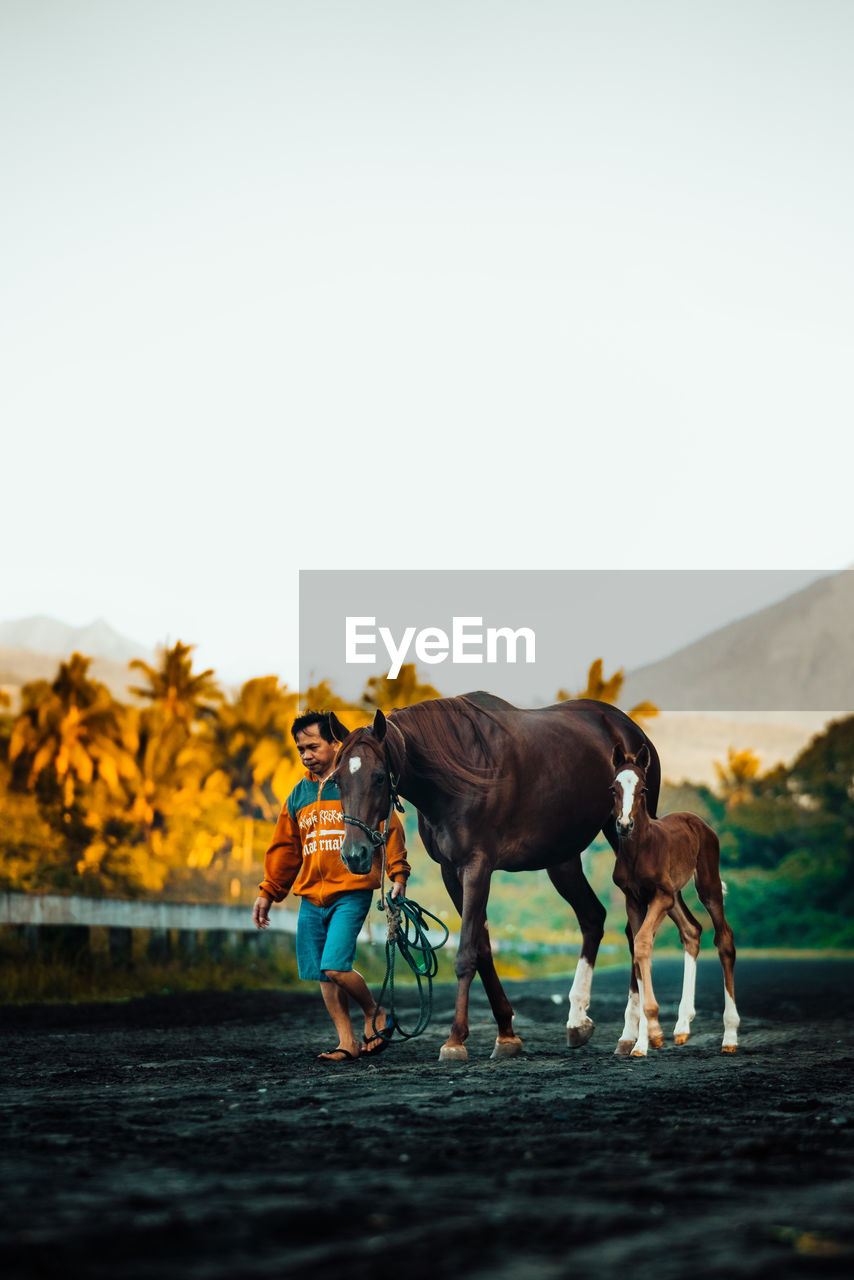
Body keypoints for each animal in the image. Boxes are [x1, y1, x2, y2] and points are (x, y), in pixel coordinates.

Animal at [327, 696, 660, 1064]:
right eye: (337, 780)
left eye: (378, 778)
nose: (354, 854)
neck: (453, 776)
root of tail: (627, 728)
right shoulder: (451, 872)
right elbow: (483, 948)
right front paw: (506, 1034)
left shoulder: (477, 867)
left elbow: (465, 953)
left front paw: (455, 1040)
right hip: (562, 860)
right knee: (592, 918)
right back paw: (577, 1022)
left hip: (623, 836)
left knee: (633, 928)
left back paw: (629, 1034)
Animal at [612, 742, 737, 1059]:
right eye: (612, 789)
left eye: (643, 789)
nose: (624, 824)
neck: (638, 851)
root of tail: (697, 821)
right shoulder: (634, 899)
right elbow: (637, 947)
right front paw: (643, 1042)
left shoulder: (661, 895)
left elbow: (643, 943)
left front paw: (653, 1034)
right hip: (676, 896)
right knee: (692, 931)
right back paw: (682, 1027)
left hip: (705, 884)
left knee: (724, 939)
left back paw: (730, 1036)